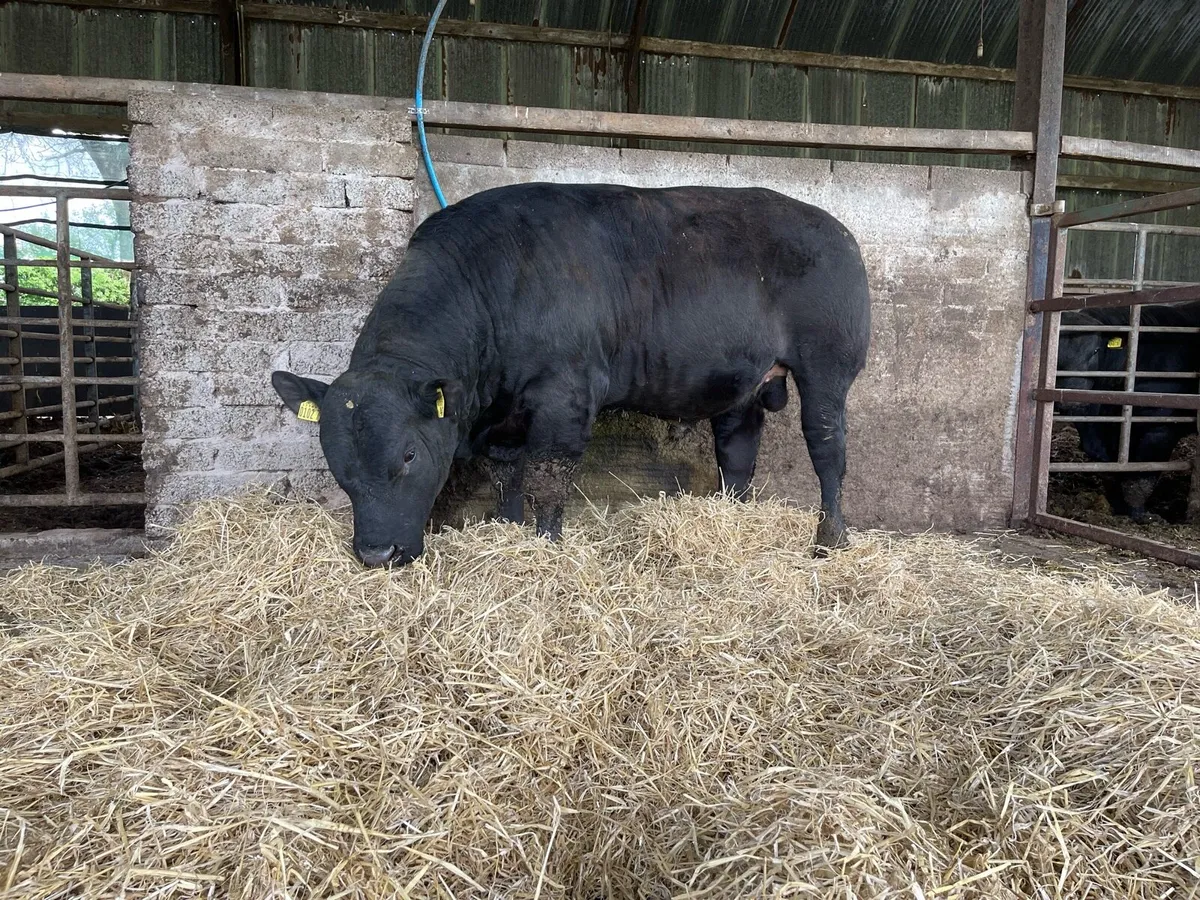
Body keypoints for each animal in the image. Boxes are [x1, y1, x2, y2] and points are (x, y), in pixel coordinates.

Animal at [271, 182, 872, 567]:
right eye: (336, 461)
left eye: (410, 455)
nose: (377, 554)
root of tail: (837, 228)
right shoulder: (505, 418)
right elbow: (507, 478)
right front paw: (509, 532)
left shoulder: (565, 397)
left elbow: (548, 478)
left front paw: (546, 546)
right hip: (744, 387)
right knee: (737, 454)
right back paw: (735, 517)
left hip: (828, 367)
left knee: (829, 450)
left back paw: (829, 539)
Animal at [1055, 300, 1200, 522]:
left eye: (1096, 350)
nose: (1071, 396)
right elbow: (1110, 469)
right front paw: (1118, 507)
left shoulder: (1159, 428)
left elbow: (1141, 476)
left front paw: (1140, 515)